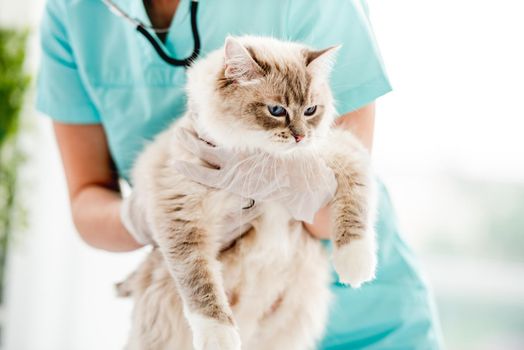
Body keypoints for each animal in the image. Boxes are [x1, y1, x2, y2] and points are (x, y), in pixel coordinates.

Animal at [117, 35, 376, 350]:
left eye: (310, 111)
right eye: (276, 111)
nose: (301, 136)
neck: (261, 159)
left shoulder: (340, 153)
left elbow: (356, 205)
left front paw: (355, 265)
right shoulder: (180, 210)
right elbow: (198, 281)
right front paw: (219, 337)